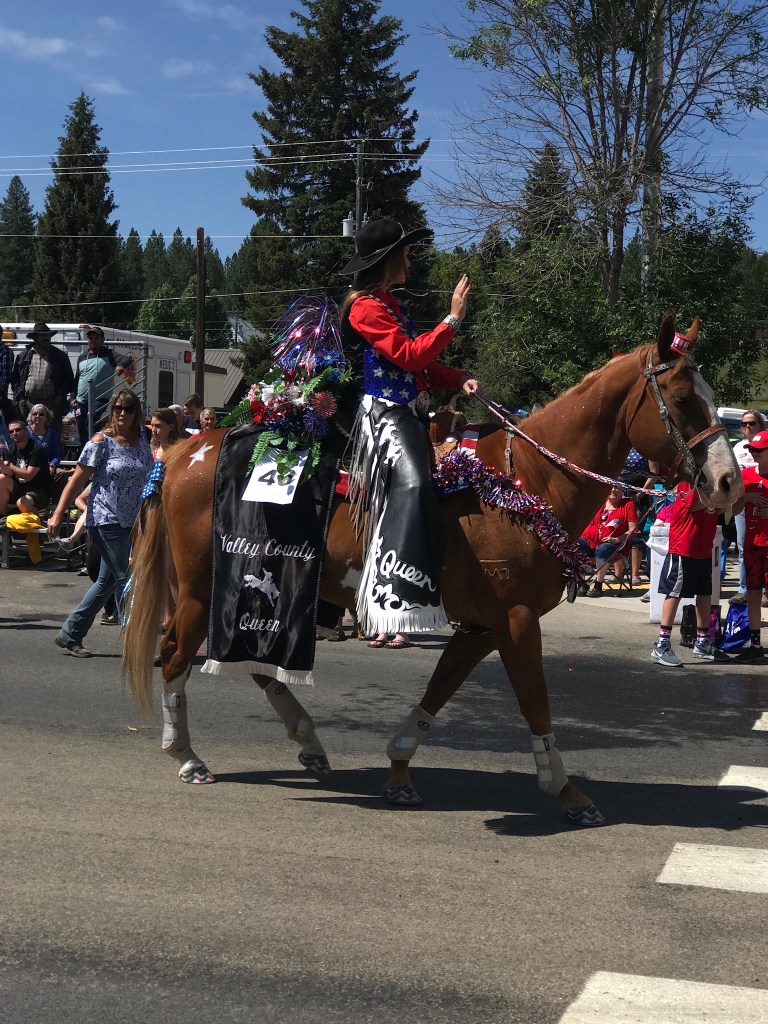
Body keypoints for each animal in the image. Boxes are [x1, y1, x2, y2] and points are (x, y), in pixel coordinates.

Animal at [123, 316, 741, 824]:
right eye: (681, 399)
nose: (728, 483)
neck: (525, 483)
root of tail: (180, 453)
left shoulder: (484, 626)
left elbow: (440, 690)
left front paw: (400, 769)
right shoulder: (517, 621)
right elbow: (534, 700)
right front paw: (566, 791)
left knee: (247, 659)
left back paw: (308, 741)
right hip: (205, 586)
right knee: (176, 653)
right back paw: (187, 755)